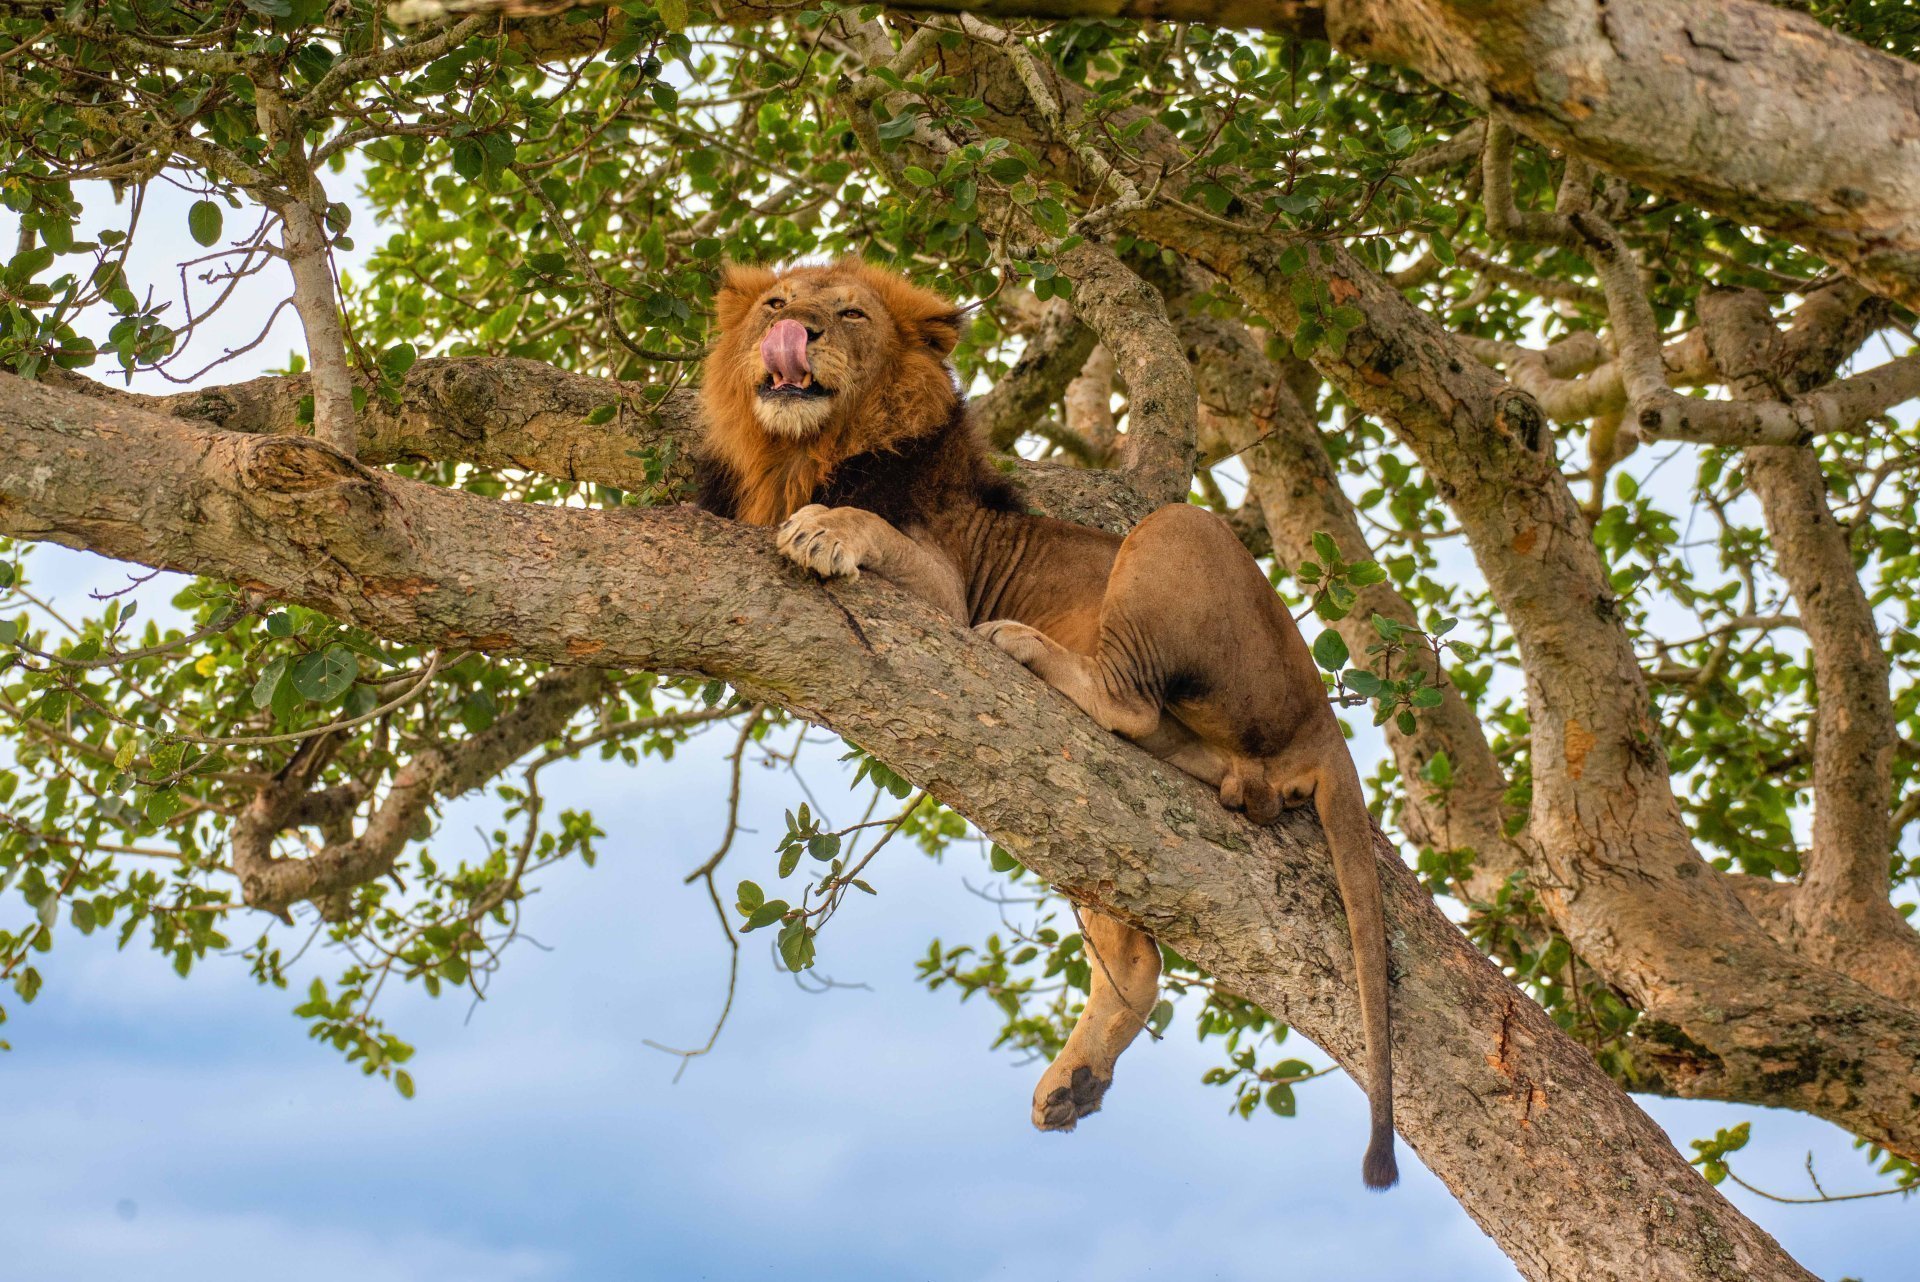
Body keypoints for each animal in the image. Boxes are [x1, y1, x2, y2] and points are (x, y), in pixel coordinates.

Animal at [695, 259, 1398, 1190]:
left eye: (850, 313)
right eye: (776, 303)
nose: (796, 333)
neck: (801, 451)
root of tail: (1326, 721)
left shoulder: (941, 591)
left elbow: (868, 527)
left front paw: (823, 529)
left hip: (1174, 532)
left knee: (1129, 698)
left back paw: (1022, 644)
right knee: (1137, 945)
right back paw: (1074, 1082)